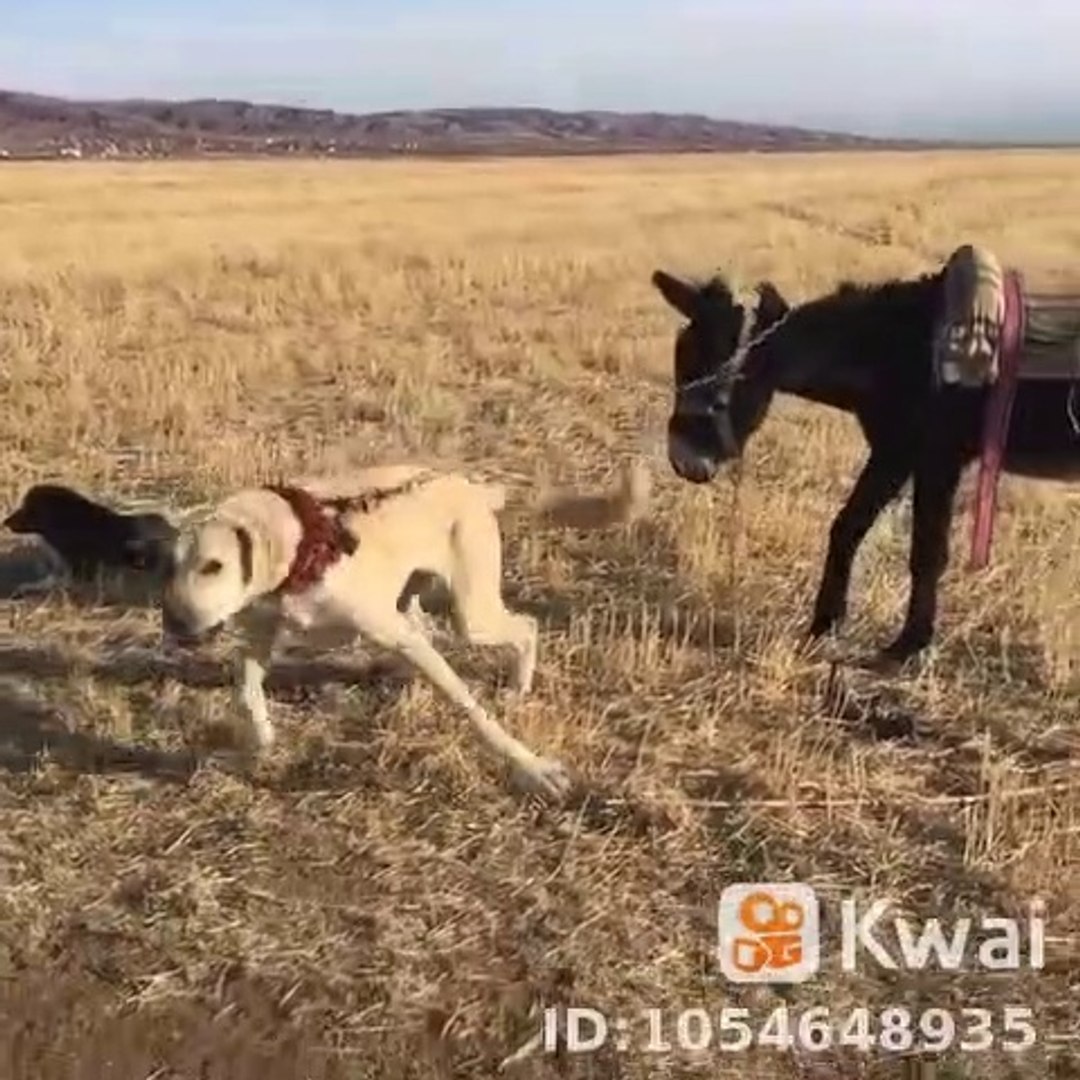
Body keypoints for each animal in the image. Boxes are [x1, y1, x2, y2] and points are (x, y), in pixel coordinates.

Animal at [159, 460, 648, 799]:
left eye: (213, 566)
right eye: (171, 566)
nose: (174, 623)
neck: (304, 549)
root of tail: (473, 486)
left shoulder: (394, 634)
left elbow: (472, 709)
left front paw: (532, 769)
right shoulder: (261, 636)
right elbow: (247, 691)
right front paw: (258, 746)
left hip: (472, 616)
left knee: (524, 626)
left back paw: (519, 685)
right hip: (418, 602)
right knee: (435, 629)